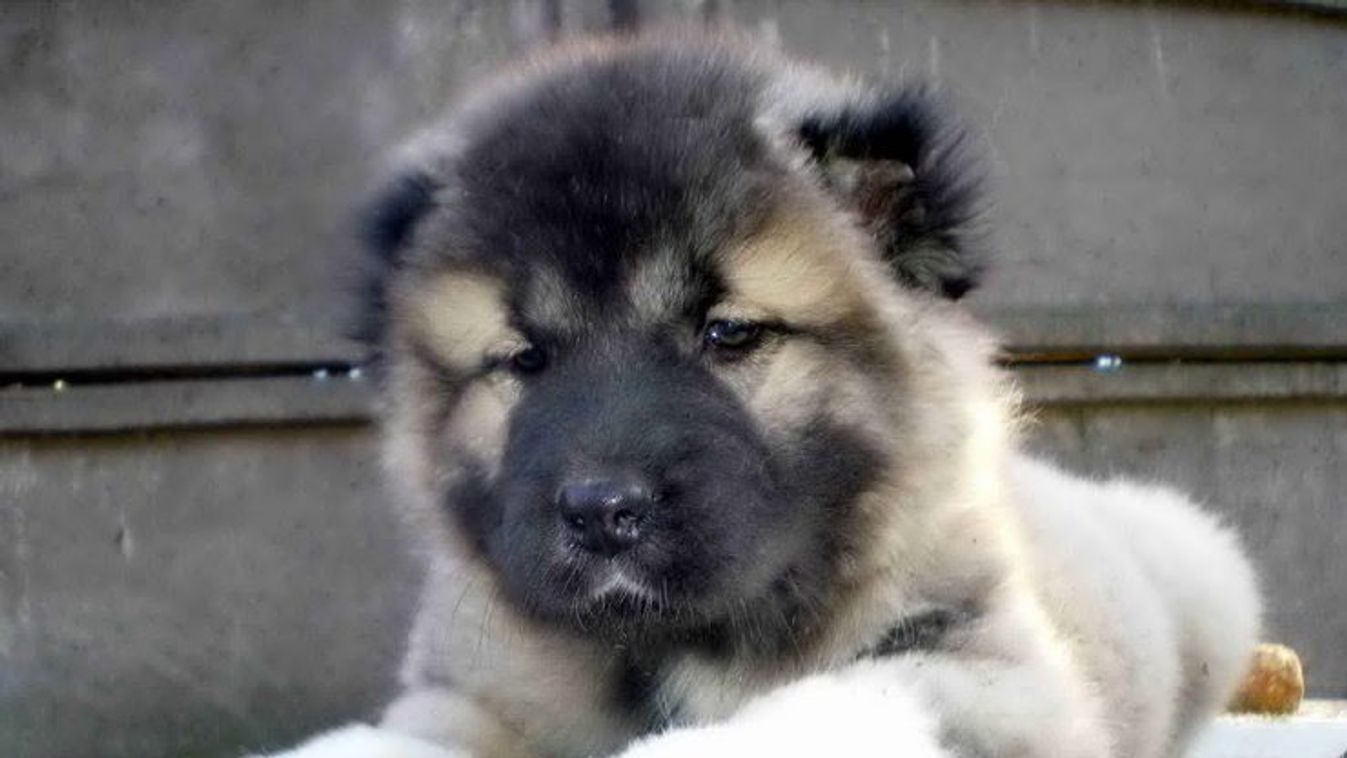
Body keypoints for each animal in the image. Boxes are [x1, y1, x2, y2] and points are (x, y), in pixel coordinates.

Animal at [264, 32, 1260, 758]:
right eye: (527, 360)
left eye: (729, 334)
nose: (600, 511)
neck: (679, 642)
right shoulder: (468, 690)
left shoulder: (987, 671)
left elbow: (824, 700)